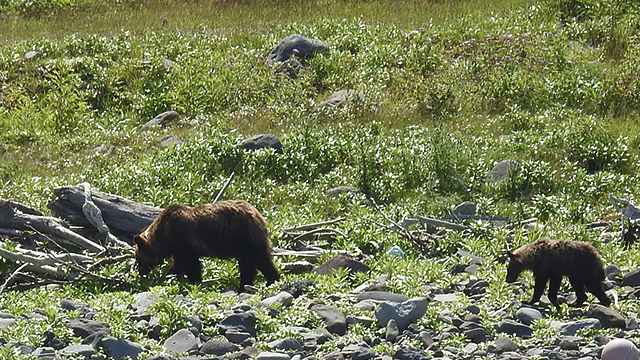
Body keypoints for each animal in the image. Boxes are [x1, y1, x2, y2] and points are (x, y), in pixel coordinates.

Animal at [133, 200, 280, 292]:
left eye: (138, 258)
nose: (141, 273)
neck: (164, 237)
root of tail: (259, 215)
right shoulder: (183, 247)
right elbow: (185, 265)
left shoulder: (182, 242)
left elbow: (189, 265)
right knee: (248, 264)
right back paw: (244, 286)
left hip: (244, 237)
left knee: (259, 258)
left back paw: (272, 280)